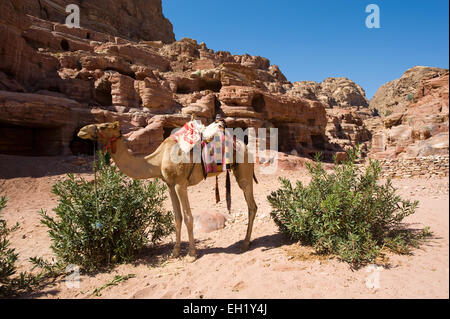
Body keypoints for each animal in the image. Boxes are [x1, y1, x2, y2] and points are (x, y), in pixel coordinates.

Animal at [77, 121, 256, 262]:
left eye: (104, 126)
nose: (81, 131)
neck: (158, 159)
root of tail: (246, 147)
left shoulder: (180, 184)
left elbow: (188, 218)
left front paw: (191, 254)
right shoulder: (170, 185)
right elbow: (177, 218)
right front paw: (174, 253)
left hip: (244, 171)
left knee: (252, 205)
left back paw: (245, 243)